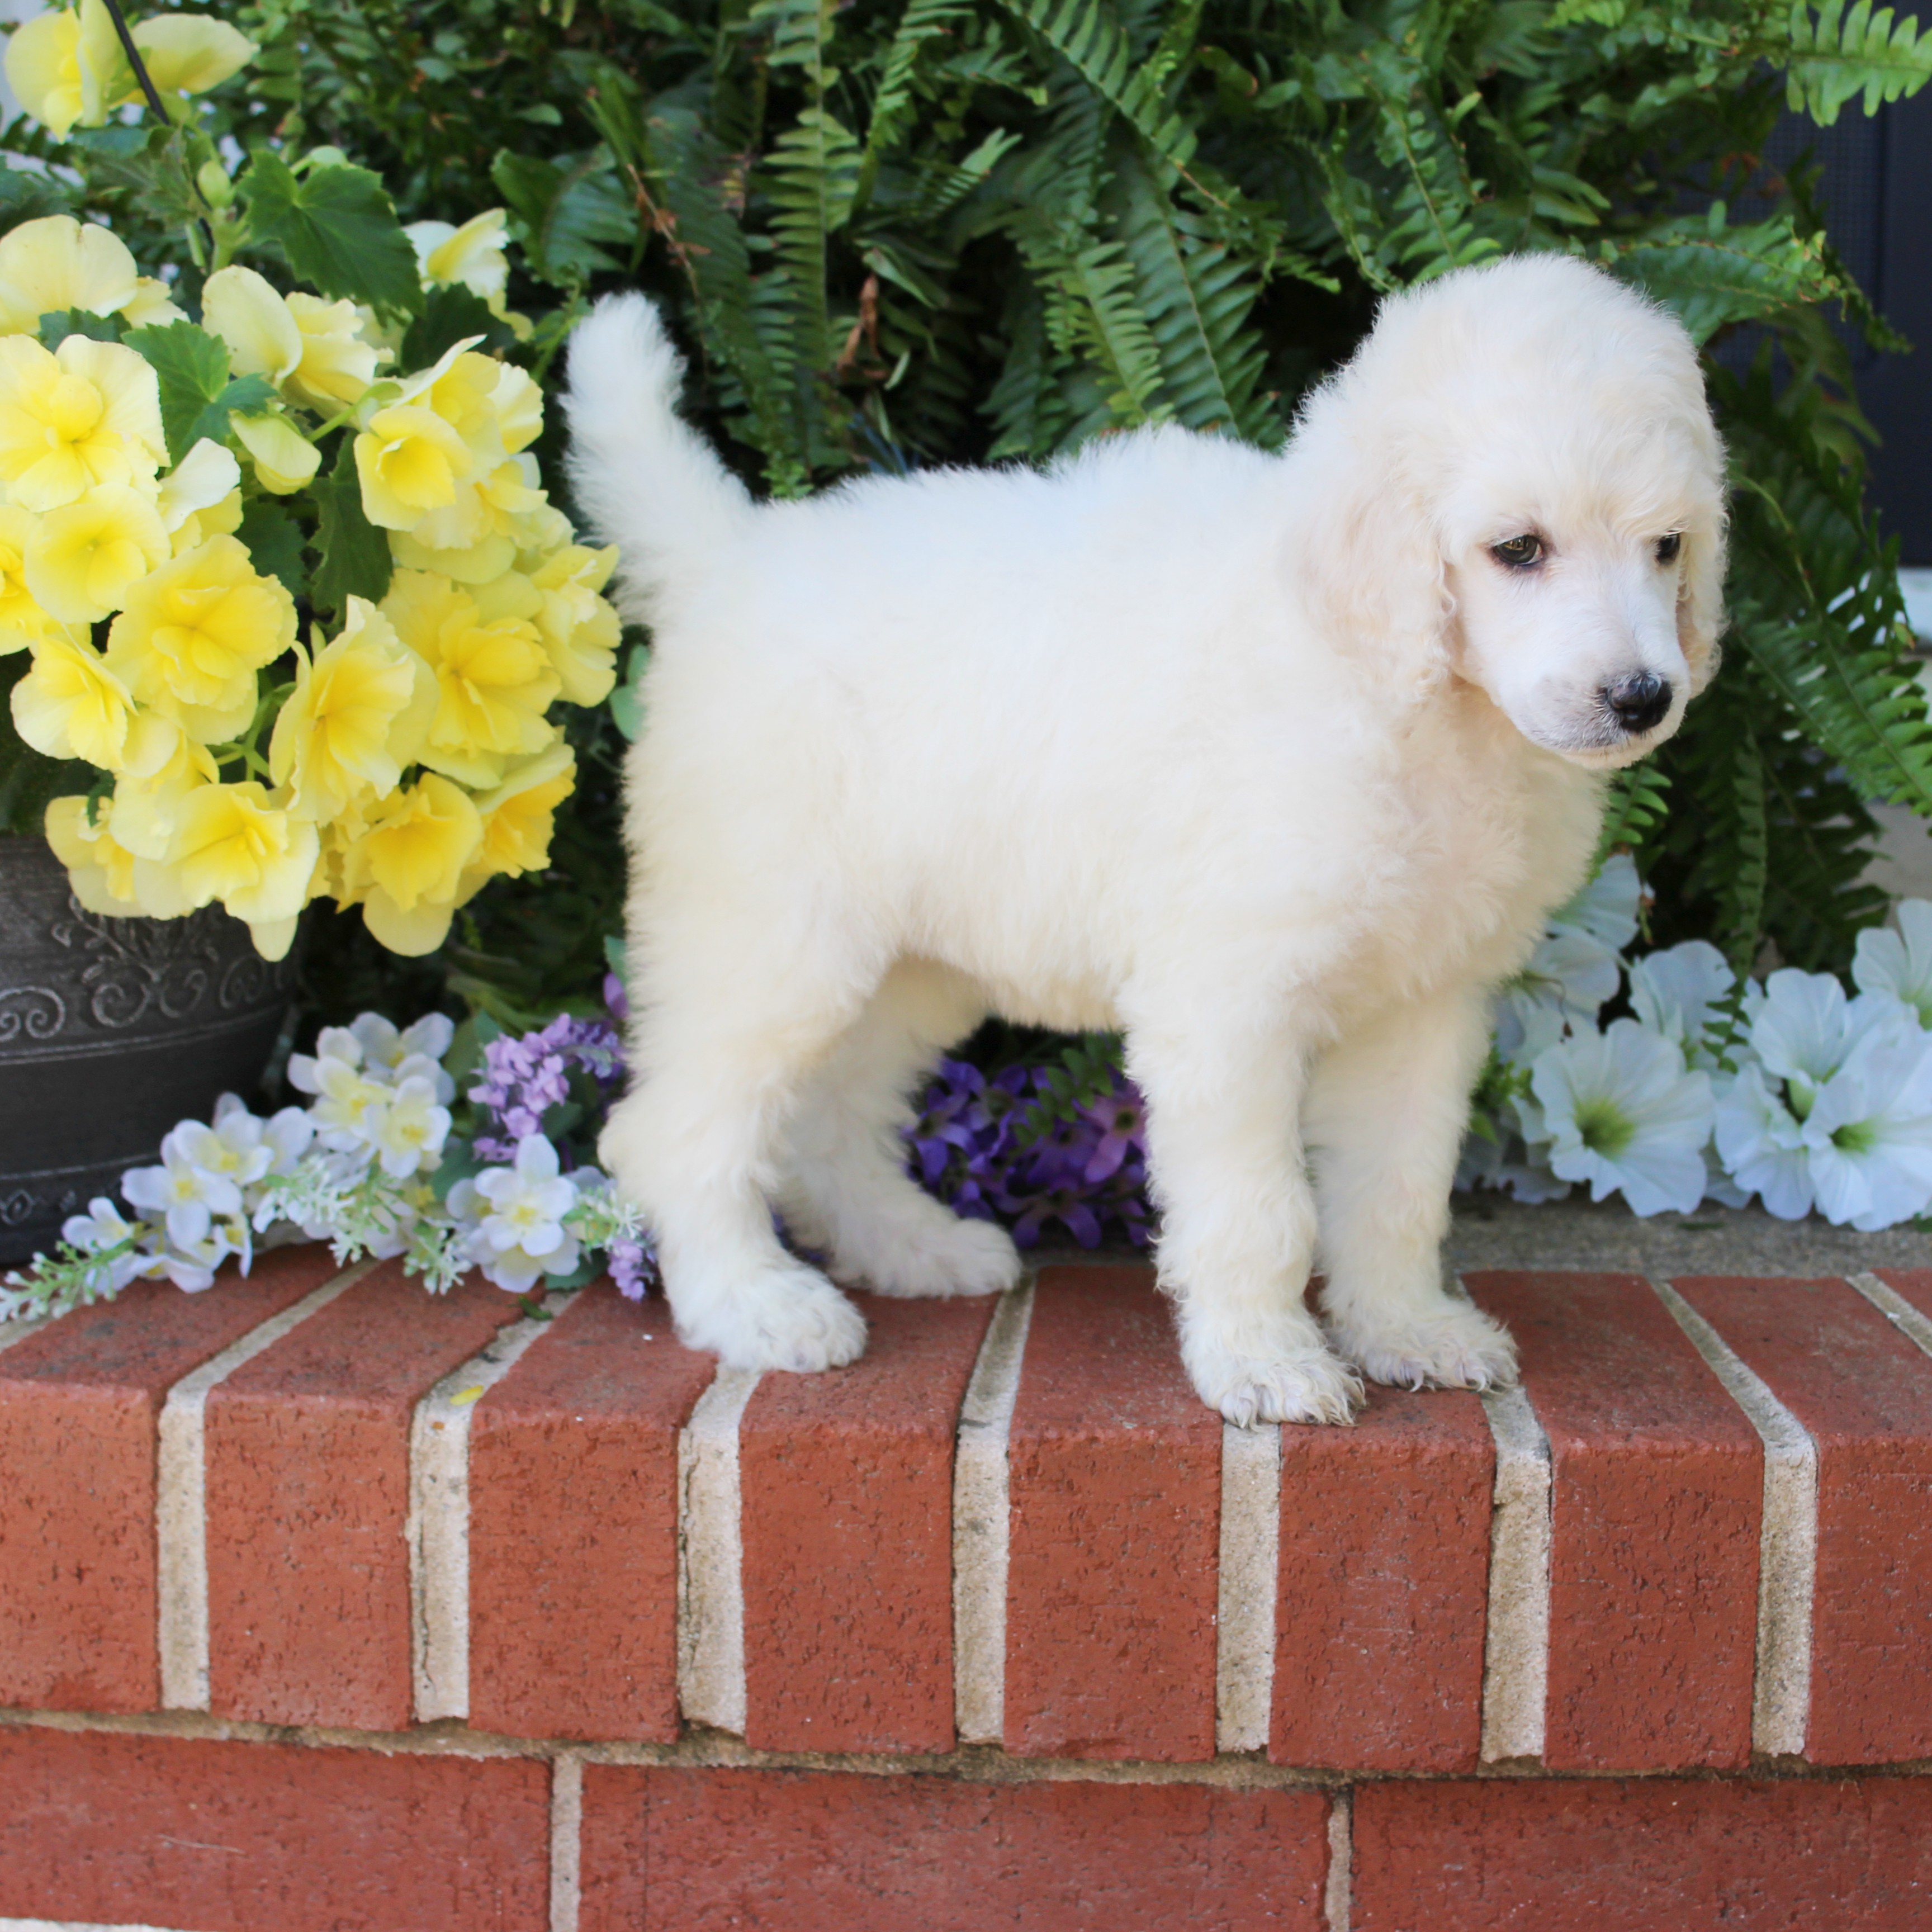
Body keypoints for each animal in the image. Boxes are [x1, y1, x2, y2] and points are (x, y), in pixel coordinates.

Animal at [564, 257, 1731, 1429]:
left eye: (1667, 545)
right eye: (1518, 549)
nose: (1643, 697)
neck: (1402, 694)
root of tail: (729, 558)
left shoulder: (1422, 1001)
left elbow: (1397, 1187)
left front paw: (1407, 1329)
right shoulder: (1230, 1002)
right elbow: (1260, 1207)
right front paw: (1266, 1362)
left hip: (907, 966)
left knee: (827, 1119)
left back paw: (913, 1248)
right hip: (771, 938)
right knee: (673, 1129)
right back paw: (757, 1305)